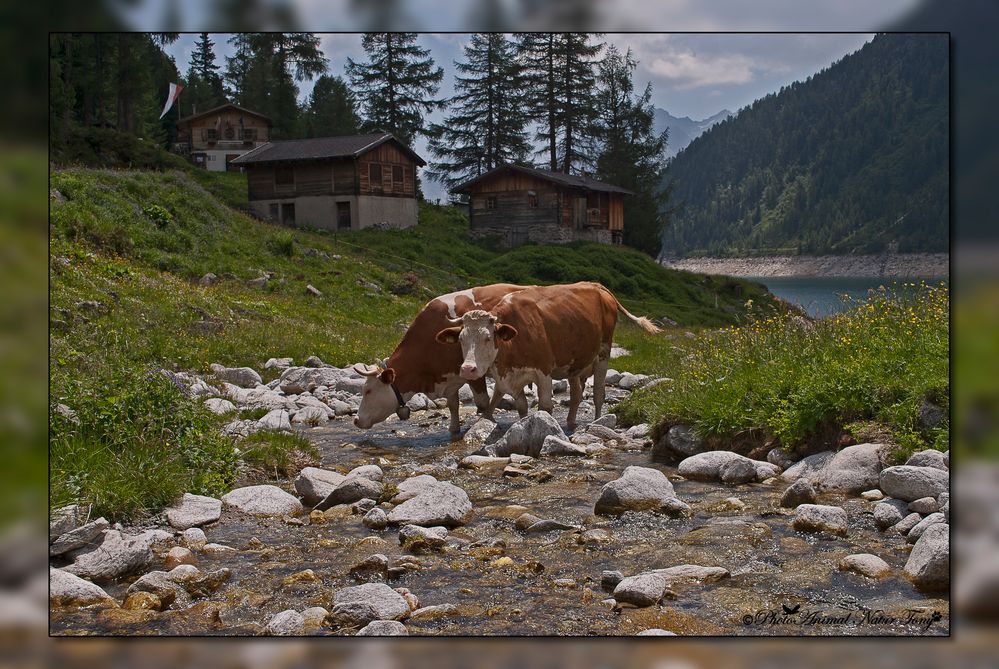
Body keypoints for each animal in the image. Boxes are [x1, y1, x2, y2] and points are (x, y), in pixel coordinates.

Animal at [356, 282, 536, 434]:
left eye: (368, 391)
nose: (356, 420)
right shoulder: (449, 378)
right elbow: (453, 404)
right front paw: (454, 429)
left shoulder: (475, 372)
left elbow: (481, 401)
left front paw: (486, 423)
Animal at [434, 280, 660, 428]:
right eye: (461, 339)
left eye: (488, 338)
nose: (468, 369)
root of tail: (596, 285)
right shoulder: (510, 378)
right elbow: (521, 406)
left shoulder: (543, 372)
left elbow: (544, 407)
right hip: (575, 363)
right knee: (576, 394)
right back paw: (570, 422)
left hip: (604, 353)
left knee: (598, 393)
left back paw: (597, 422)